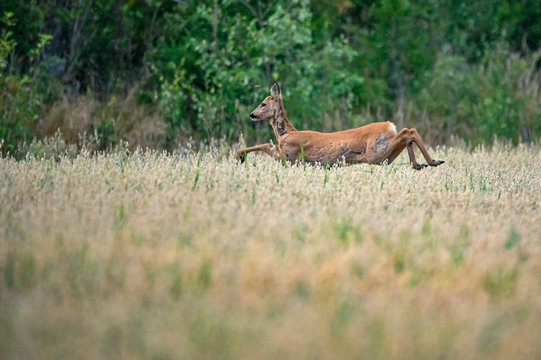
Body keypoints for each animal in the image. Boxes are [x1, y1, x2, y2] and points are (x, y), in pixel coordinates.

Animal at [235, 82, 442, 169]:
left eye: (263, 103)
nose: (252, 115)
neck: (286, 134)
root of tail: (390, 125)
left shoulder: (289, 156)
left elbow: (265, 145)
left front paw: (239, 156)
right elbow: (265, 144)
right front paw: (240, 156)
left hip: (376, 151)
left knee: (409, 131)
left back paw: (433, 161)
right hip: (384, 156)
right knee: (408, 133)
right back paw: (420, 164)